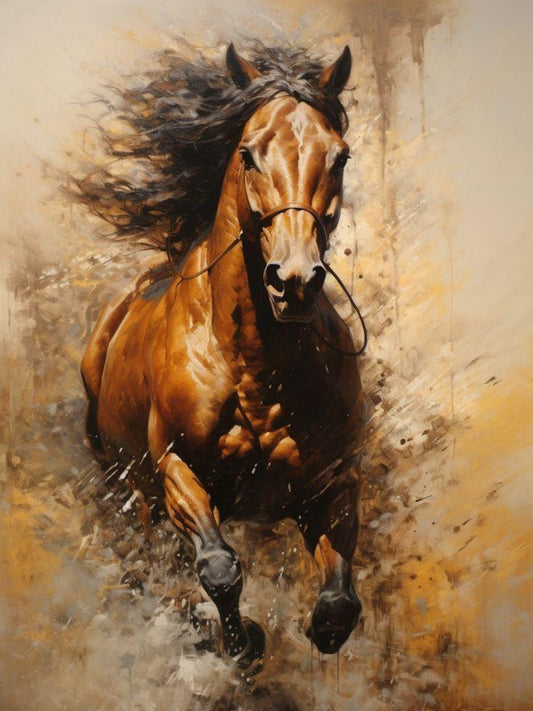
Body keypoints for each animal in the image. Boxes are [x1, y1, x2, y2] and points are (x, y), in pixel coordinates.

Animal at [79, 42, 366, 668]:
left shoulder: (332, 481)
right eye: (249, 153)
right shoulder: (176, 471)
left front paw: (318, 632)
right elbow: (219, 569)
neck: (257, 367)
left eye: (340, 156)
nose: (295, 281)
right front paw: (241, 645)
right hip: (132, 488)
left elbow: (339, 604)